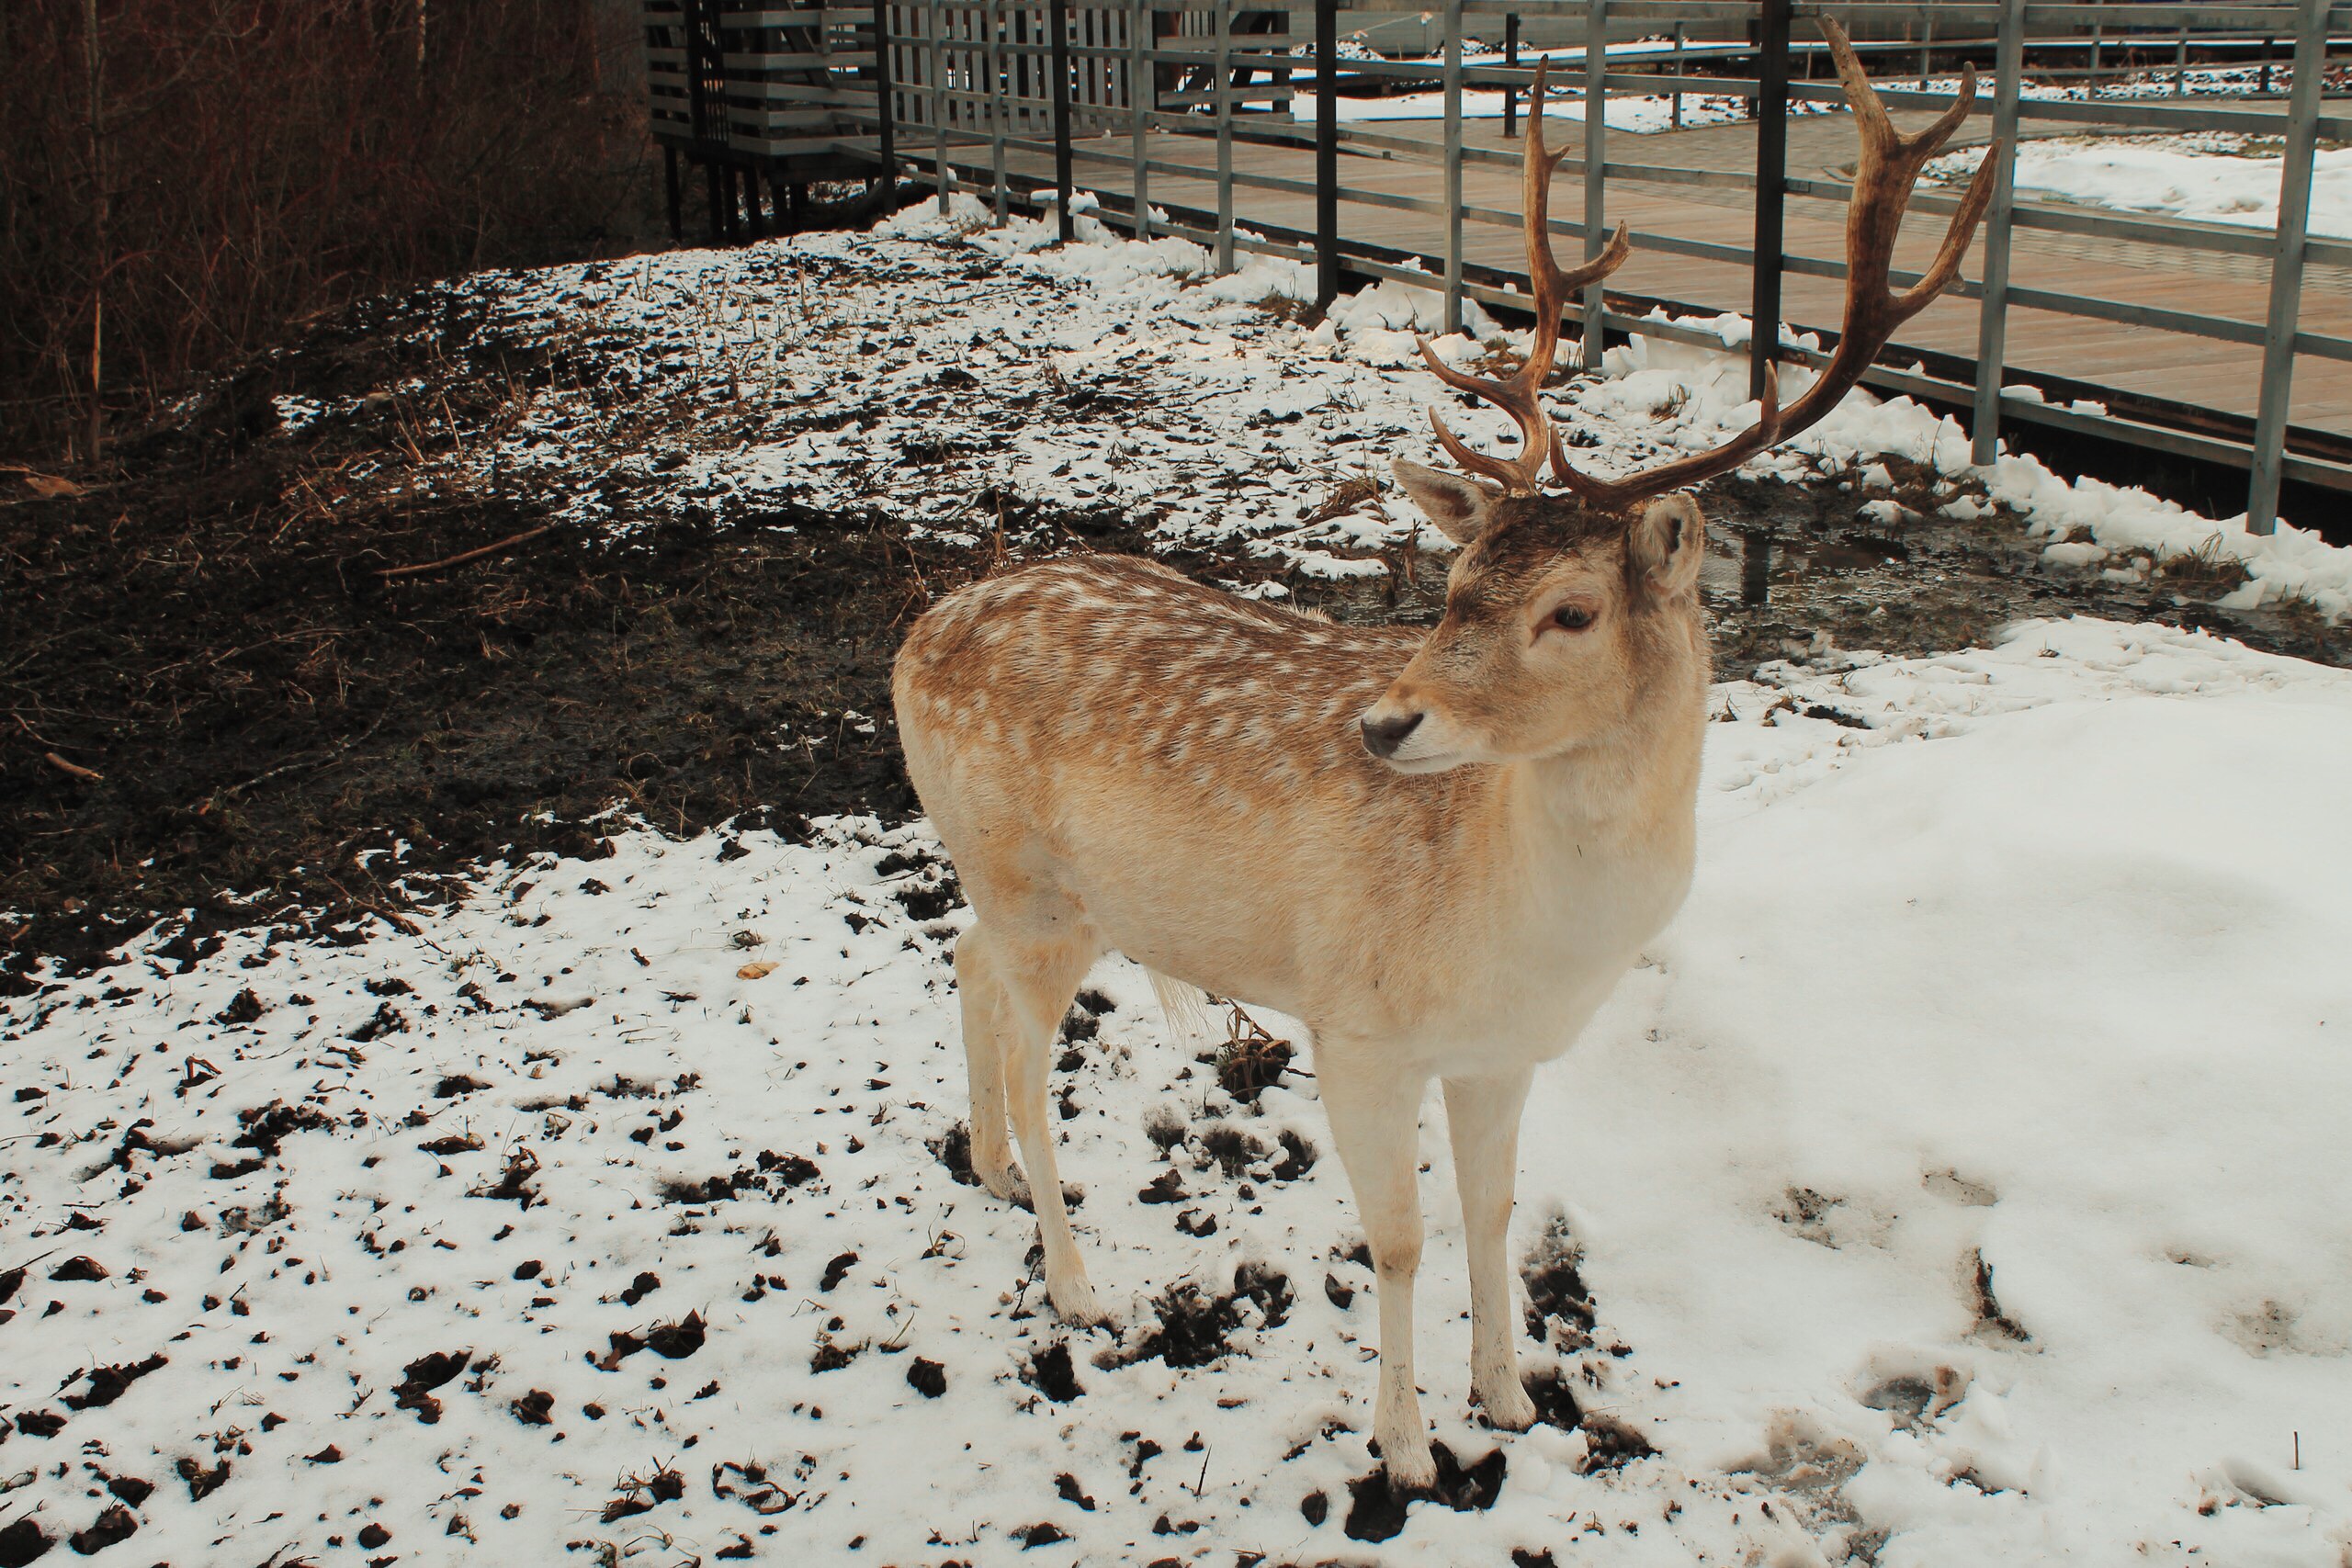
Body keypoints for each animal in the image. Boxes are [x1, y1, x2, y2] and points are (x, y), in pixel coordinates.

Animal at [888, 28, 1994, 1495]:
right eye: (1458, 580)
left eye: (1570, 610)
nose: (1384, 724)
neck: (1515, 933)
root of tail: (912, 639)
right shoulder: (1353, 1026)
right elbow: (1402, 1237)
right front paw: (1408, 1447)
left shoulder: (1502, 1052)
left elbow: (1494, 1208)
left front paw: (1512, 1397)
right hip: (1032, 883)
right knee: (1028, 1060)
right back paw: (1074, 1285)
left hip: (1023, 885)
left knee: (958, 963)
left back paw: (992, 1170)